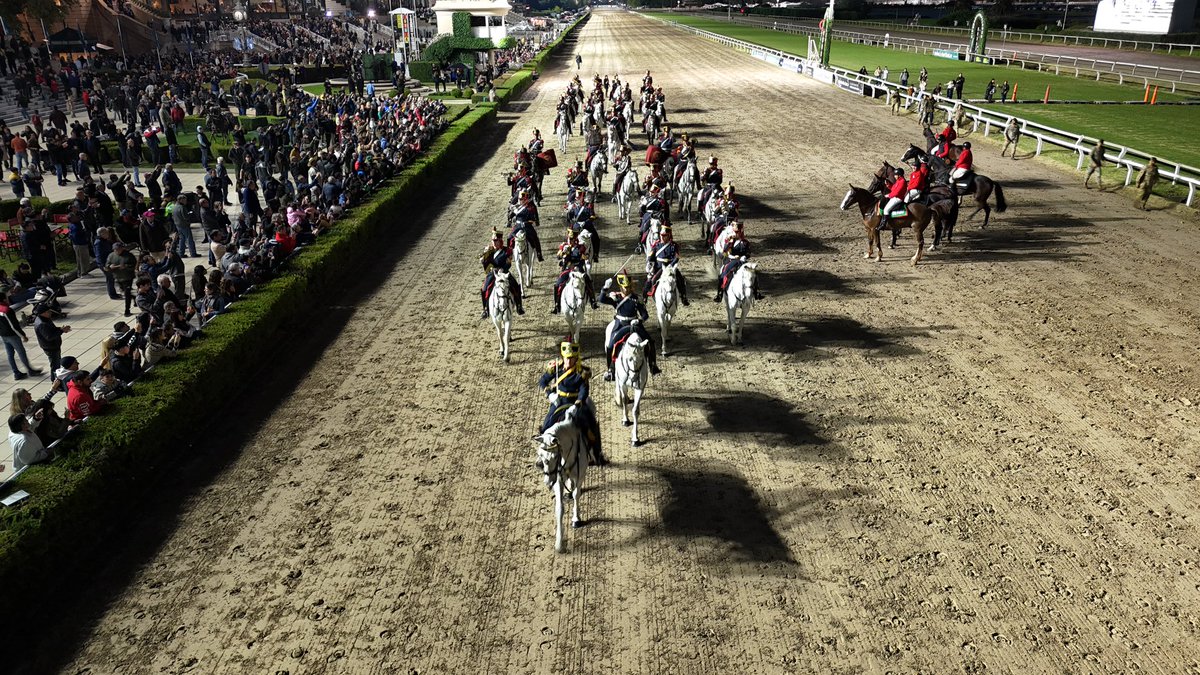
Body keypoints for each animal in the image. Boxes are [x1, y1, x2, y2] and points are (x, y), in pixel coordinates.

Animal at [535, 403, 590, 552]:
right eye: (540, 454)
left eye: (554, 456)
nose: (548, 481)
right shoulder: (559, 480)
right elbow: (559, 508)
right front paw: (559, 543)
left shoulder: (580, 474)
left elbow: (577, 494)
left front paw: (576, 519)